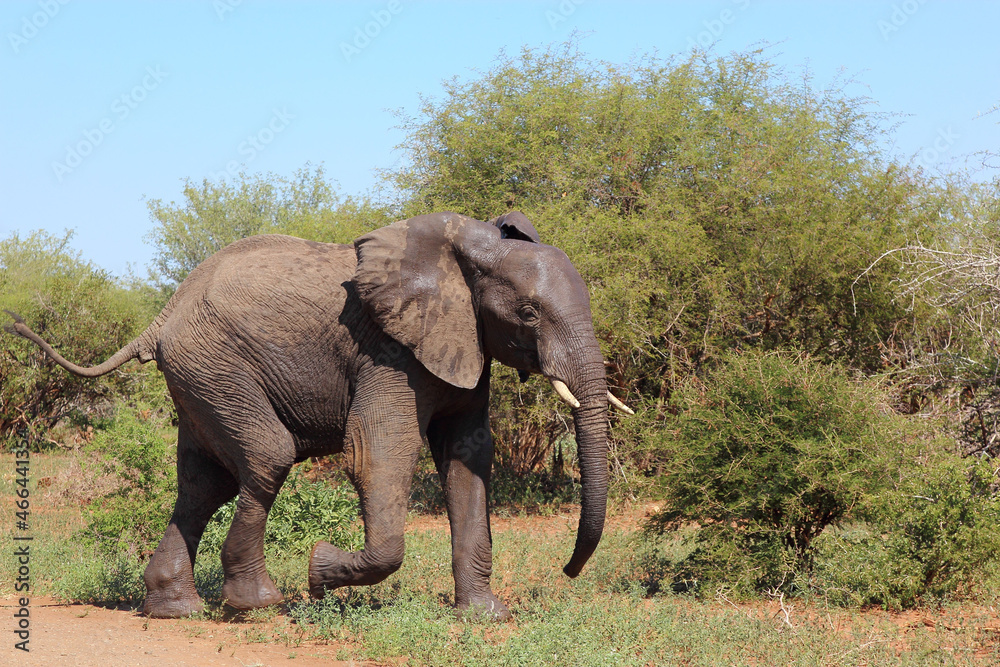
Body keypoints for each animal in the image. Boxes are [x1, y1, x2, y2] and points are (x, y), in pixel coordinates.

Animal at [7, 211, 628, 620]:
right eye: (529, 312)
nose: (568, 572)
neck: (467, 250)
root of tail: (164, 314)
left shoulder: (465, 346)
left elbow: (467, 462)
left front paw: (483, 617)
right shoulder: (389, 351)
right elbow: (378, 452)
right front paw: (320, 572)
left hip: (198, 376)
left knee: (204, 482)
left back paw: (174, 610)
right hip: (215, 365)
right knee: (265, 458)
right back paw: (257, 604)